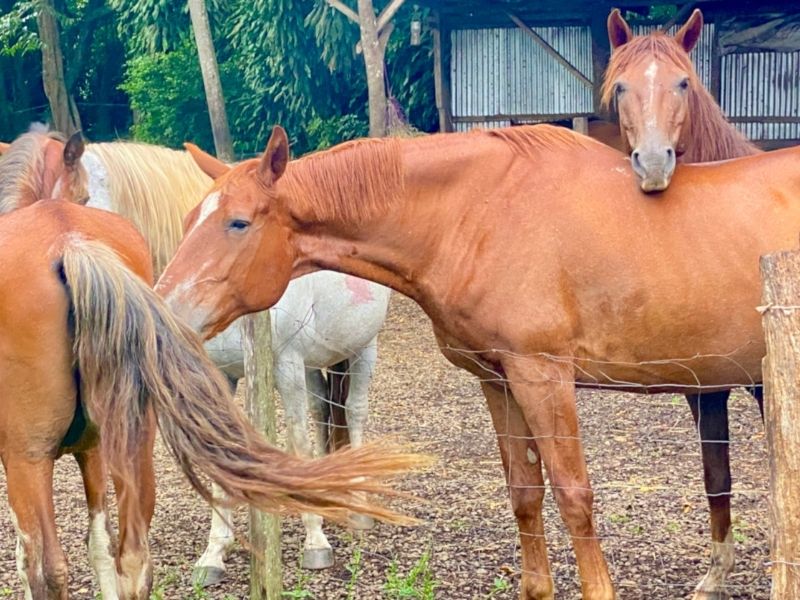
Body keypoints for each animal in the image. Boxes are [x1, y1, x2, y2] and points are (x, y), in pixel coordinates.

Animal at [0, 134, 392, 581]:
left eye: (80, 199)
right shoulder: (220, 375)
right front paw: (214, 553)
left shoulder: (286, 366)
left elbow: (298, 441)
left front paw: (315, 541)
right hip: (316, 363)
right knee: (324, 410)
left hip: (362, 349)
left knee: (353, 413)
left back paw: (358, 508)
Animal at [157, 124, 800, 599]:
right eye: (187, 221)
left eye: (238, 222)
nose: (165, 311)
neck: (481, 213)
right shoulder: (499, 380)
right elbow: (525, 494)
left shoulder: (542, 375)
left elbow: (574, 496)